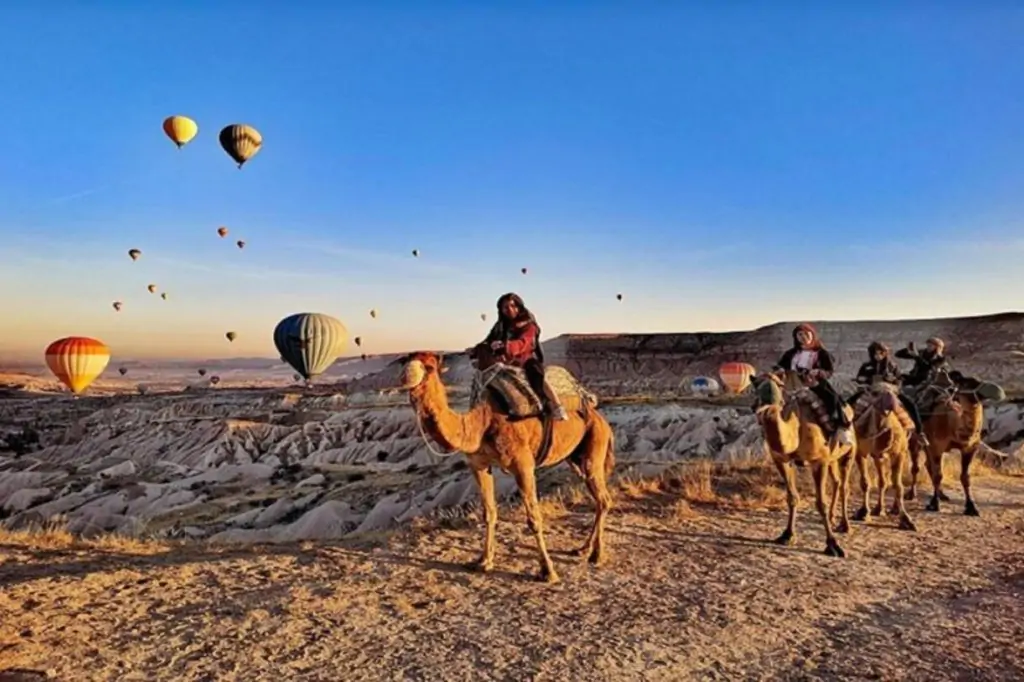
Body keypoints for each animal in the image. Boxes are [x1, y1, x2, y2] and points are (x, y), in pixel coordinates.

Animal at [395, 348, 610, 581]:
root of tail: (599, 417)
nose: (406, 379)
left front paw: (548, 571)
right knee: (597, 498)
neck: (483, 422)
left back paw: (597, 555)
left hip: (595, 444)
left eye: (430, 366)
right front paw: (483, 561)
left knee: (603, 499)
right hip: (575, 459)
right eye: (406, 361)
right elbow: (489, 513)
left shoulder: (523, 466)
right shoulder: (479, 465)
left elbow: (533, 519)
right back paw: (583, 549)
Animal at [753, 372, 856, 557]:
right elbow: (792, 498)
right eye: (755, 386)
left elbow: (820, 503)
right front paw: (787, 535)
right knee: (837, 482)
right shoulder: (783, 461)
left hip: (849, 453)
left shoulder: (819, 461)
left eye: (780, 385)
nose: (762, 408)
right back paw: (832, 517)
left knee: (845, 486)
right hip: (832, 459)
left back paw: (845, 526)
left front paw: (833, 545)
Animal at [847, 382, 921, 532]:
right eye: (874, 393)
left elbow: (898, 486)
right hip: (878, 457)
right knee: (882, 480)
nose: (892, 403)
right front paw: (863, 512)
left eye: (896, 393)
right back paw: (879, 509)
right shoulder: (861, 452)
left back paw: (894, 508)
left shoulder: (899, 453)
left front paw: (906, 520)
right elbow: (865, 482)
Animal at [909, 368, 995, 512]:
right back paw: (911, 494)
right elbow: (938, 475)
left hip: (927, 444)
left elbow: (965, 477)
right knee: (916, 465)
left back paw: (942, 495)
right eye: (967, 383)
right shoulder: (937, 445)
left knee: (927, 464)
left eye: (979, 381)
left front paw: (971, 506)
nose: (987, 391)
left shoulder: (970, 448)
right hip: (914, 439)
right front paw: (934, 504)